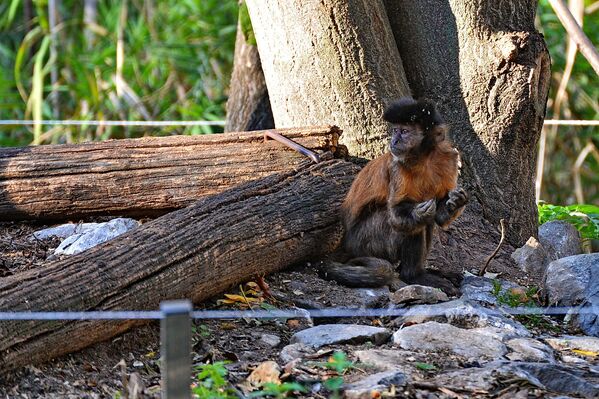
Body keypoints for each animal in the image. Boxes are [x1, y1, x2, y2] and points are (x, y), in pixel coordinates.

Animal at [324, 98, 468, 296]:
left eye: (405, 131)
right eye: (395, 130)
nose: (394, 140)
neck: (424, 158)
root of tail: (345, 243)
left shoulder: (449, 158)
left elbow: (439, 215)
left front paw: (455, 202)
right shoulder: (397, 165)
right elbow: (396, 214)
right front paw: (418, 213)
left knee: (427, 223)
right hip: (365, 243)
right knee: (410, 225)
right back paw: (413, 276)